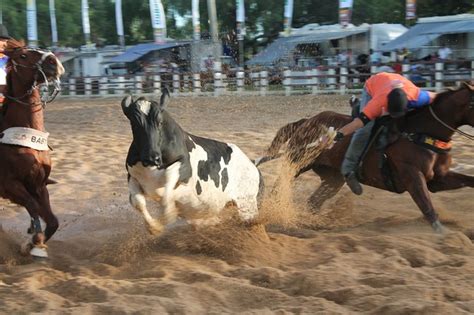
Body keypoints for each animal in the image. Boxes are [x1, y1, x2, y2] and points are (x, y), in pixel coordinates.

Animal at [0, 39, 64, 258]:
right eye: (23, 56)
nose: (53, 61)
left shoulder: (39, 185)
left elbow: (53, 221)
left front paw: (34, 244)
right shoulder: (10, 186)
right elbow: (32, 206)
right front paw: (34, 239)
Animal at [121, 89, 262, 235]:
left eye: (160, 122)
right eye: (134, 124)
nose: (151, 158)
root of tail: (253, 164)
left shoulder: (183, 168)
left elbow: (168, 182)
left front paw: (168, 214)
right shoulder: (132, 176)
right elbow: (137, 202)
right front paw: (154, 227)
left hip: (248, 205)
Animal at [260, 82, 474, 233]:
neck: (419, 133)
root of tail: (306, 121)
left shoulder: (437, 179)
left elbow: (467, 180)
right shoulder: (412, 176)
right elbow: (426, 205)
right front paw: (442, 232)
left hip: (333, 179)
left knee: (313, 203)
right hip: (297, 163)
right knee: (279, 188)